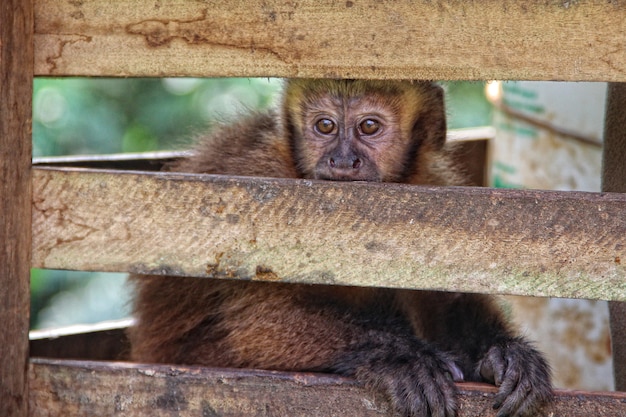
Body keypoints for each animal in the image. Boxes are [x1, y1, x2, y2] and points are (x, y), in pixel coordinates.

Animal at [128, 79, 552, 416]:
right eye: (325, 126)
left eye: (369, 126)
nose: (342, 160)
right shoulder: (262, 185)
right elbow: (254, 322)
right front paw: (400, 357)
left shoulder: (432, 187)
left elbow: (447, 292)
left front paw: (501, 351)